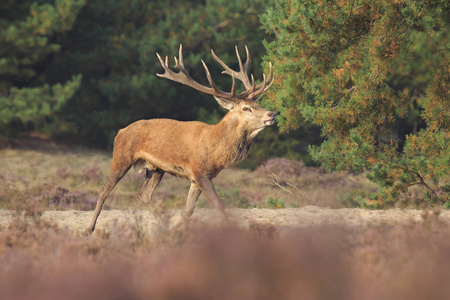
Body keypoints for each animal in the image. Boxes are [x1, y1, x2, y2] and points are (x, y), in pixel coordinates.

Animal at [84, 44, 274, 233]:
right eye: (246, 108)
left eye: (258, 103)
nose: (272, 114)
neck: (215, 150)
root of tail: (120, 131)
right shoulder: (200, 172)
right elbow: (219, 205)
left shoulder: (198, 178)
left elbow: (189, 210)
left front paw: (175, 231)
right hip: (121, 156)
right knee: (104, 190)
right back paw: (90, 228)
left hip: (155, 168)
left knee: (144, 194)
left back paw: (163, 227)